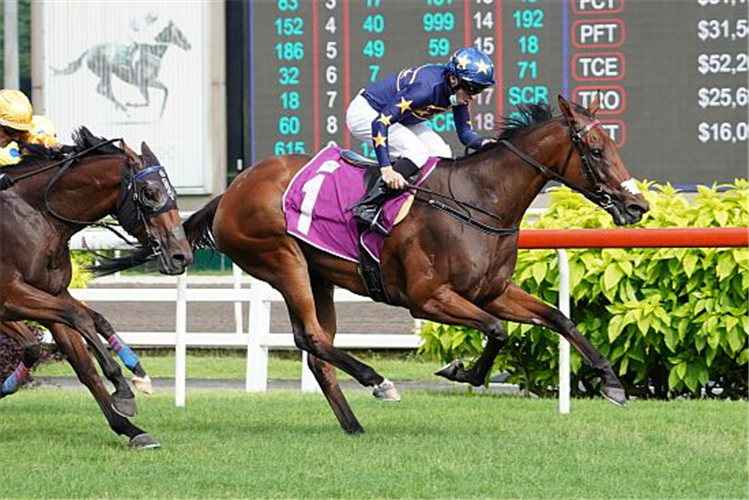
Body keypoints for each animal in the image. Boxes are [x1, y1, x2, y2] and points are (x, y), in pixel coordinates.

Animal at [0, 128, 193, 446]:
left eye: (174, 193)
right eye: (150, 193)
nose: (182, 256)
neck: (37, 215)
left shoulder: (52, 294)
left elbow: (88, 348)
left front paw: (130, 423)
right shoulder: (9, 295)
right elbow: (79, 319)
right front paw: (122, 388)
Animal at [183, 96, 648, 434]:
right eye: (595, 151)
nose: (637, 206)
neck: (477, 200)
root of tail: (230, 190)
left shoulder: (493, 292)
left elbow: (558, 319)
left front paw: (612, 383)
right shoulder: (428, 299)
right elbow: (496, 330)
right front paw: (461, 370)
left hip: (318, 275)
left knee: (315, 349)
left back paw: (354, 426)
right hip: (282, 260)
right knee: (312, 337)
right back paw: (377, 382)